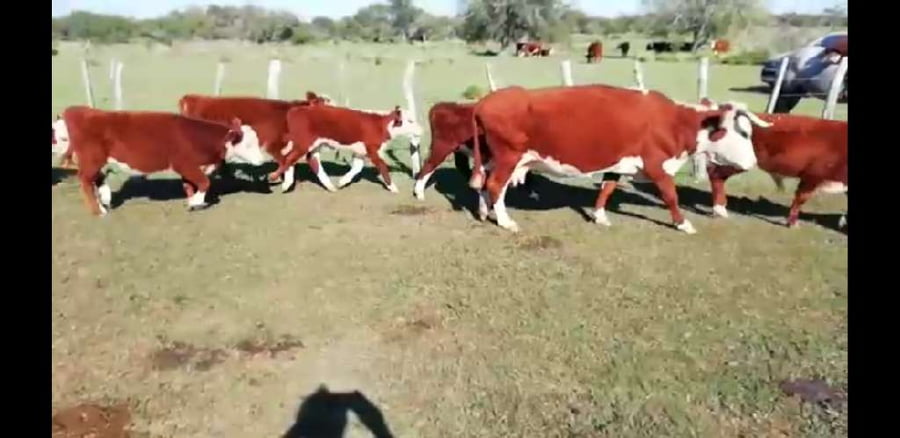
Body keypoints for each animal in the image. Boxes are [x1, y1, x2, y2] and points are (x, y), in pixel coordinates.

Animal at [51, 106, 267, 216]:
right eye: (248, 144)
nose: (260, 160)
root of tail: (79, 110)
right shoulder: (184, 164)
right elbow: (204, 183)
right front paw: (196, 202)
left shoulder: (189, 168)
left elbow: (191, 185)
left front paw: (192, 201)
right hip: (92, 159)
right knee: (86, 181)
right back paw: (99, 210)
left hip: (97, 161)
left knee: (97, 179)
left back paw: (105, 199)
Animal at [178, 92, 331, 193]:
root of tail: (194, 98)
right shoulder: (273, 145)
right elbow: (286, 163)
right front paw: (279, 180)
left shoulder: (307, 148)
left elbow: (314, 166)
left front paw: (331, 186)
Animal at [270, 105, 423, 193]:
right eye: (409, 121)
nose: (421, 130)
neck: (381, 125)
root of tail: (297, 109)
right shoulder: (373, 149)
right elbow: (383, 166)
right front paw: (393, 187)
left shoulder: (361, 152)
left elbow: (357, 168)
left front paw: (342, 181)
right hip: (303, 142)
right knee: (290, 157)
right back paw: (276, 178)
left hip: (312, 144)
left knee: (308, 160)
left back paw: (329, 186)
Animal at [465, 85, 772, 234]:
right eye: (743, 133)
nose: (752, 162)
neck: (673, 121)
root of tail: (486, 101)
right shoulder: (658, 166)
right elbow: (671, 196)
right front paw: (683, 224)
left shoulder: (619, 164)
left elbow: (607, 188)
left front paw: (599, 216)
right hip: (509, 157)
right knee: (495, 186)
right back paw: (505, 221)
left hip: (494, 157)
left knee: (484, 184)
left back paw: (483, 211)